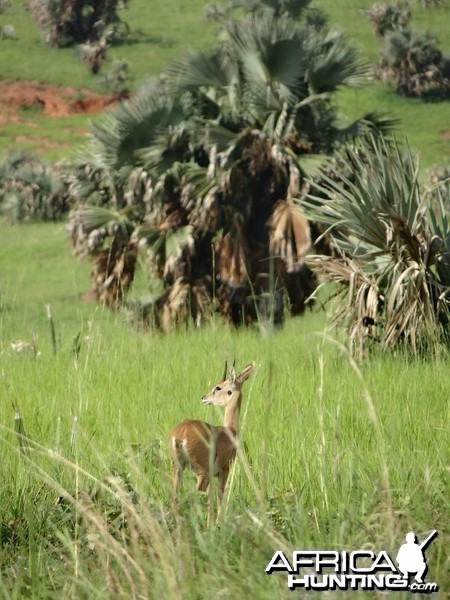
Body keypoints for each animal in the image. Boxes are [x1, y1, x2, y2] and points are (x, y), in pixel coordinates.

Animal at [168, 364, 253, 508]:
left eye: (218, 387)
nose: (204, 397)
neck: (230, 431)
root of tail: (182, 432)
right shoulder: (224, 470)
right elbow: (219, 500)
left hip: (177, 468)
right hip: (203, 473)